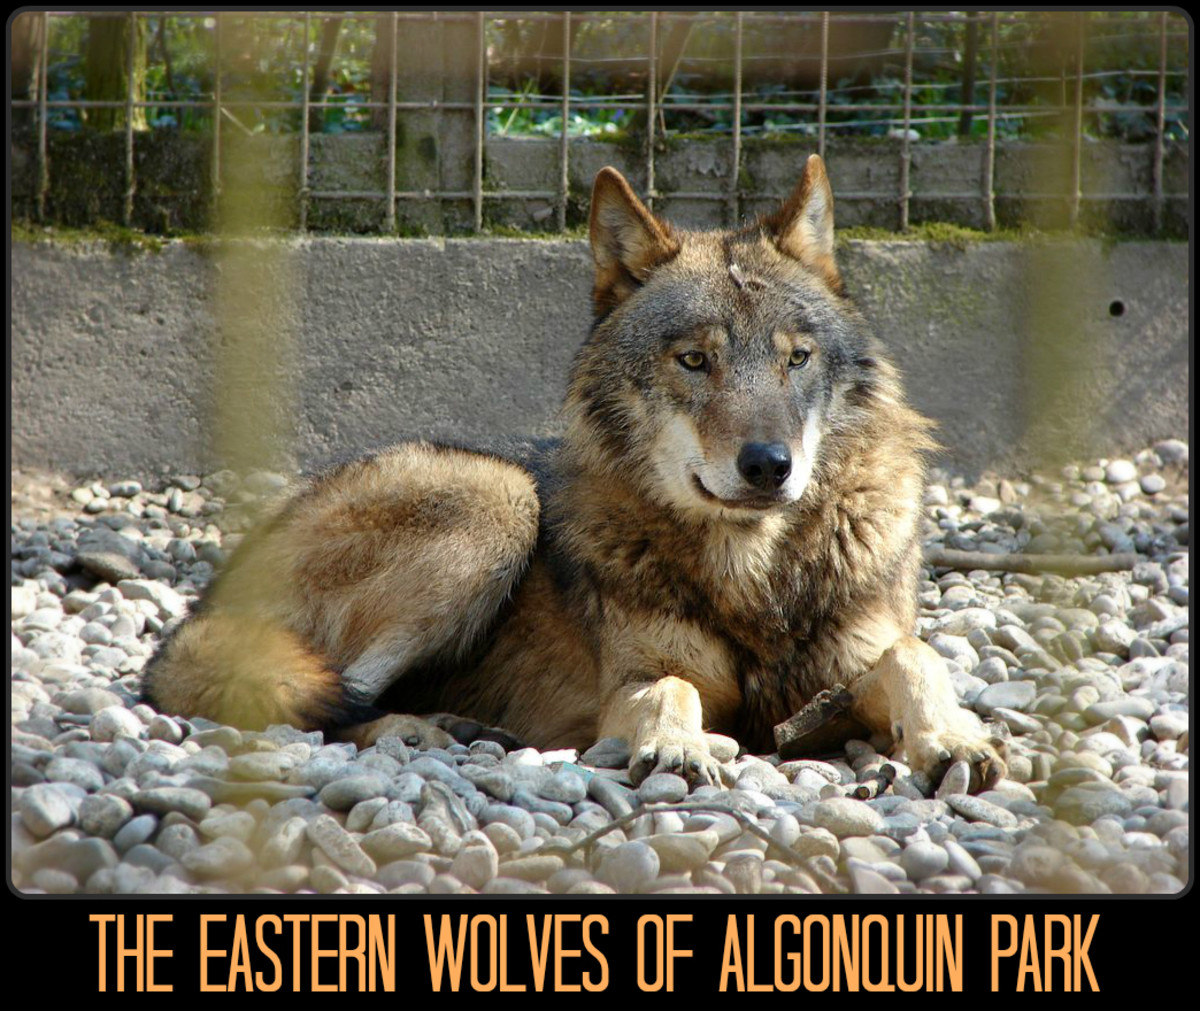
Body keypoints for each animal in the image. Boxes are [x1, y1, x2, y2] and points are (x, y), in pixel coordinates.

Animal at [144, 156, 1006, 791]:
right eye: (694, 360)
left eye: (796, 358)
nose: (769, 465)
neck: (756, 576)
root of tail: (204, 606)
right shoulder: (632, 681)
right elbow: (670, 689)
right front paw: (678, 746)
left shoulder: (842, 677)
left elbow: (916, 656)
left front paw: (953, 736)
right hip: (497, 497)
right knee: (329, 701)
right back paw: (422, 730)